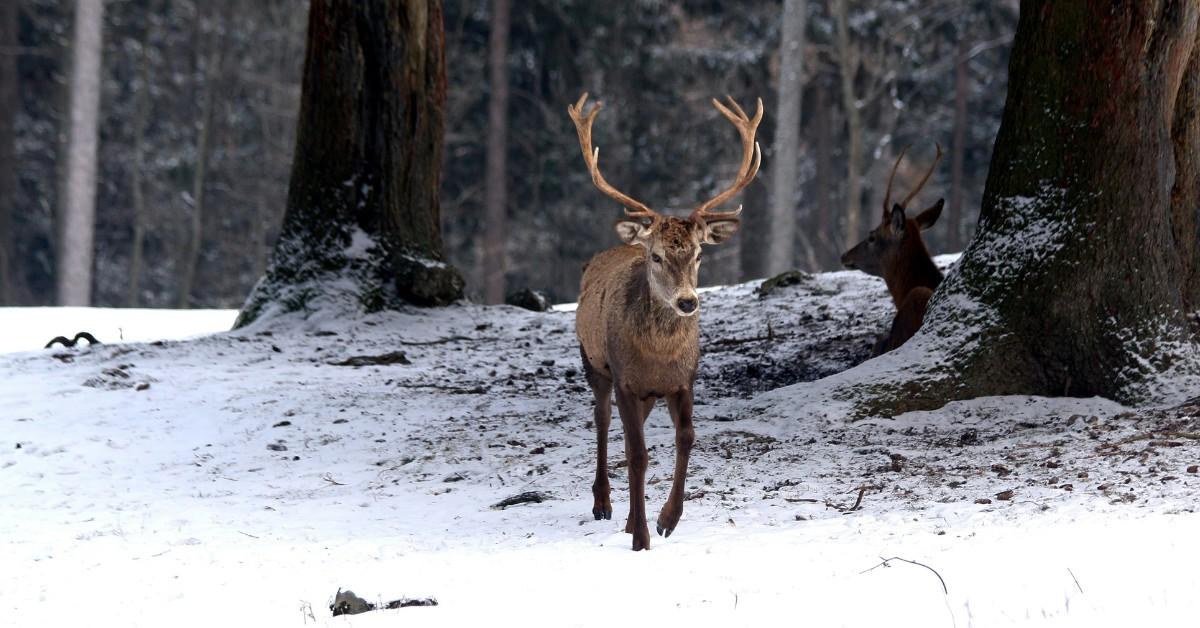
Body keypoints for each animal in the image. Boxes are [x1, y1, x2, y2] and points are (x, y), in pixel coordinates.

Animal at [568, 92, 758, 549]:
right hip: (593, 362)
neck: (658, 357)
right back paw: (603, 503)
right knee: (602, 419)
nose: (688, 302)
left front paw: (666, 519)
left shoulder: (682, 379)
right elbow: (638, 455)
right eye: (656, 256)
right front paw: (640, 536)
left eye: (699, 254)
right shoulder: (625, 379)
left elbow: (686, 437)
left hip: (645, 393)